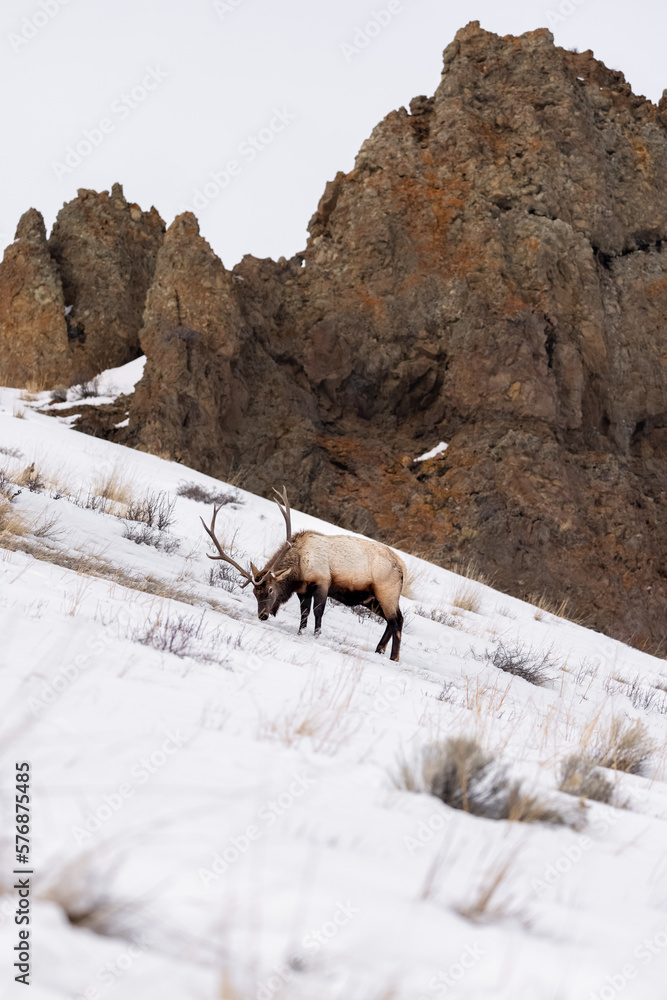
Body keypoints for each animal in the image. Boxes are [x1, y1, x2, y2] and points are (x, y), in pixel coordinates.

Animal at [201, 487, 407, 661]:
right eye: (254, 593)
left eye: (270, 590)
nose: (263, 615)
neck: (299, 570)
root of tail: (402, 569)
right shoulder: (303, 590)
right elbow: (304, 613)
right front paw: (301, 632)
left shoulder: (322, 582)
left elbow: (318, 611)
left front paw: (317, 635)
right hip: (372, 599)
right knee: (391, 621)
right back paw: (379, 649)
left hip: (386, 592)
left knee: (397, 620)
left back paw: (393, 657)